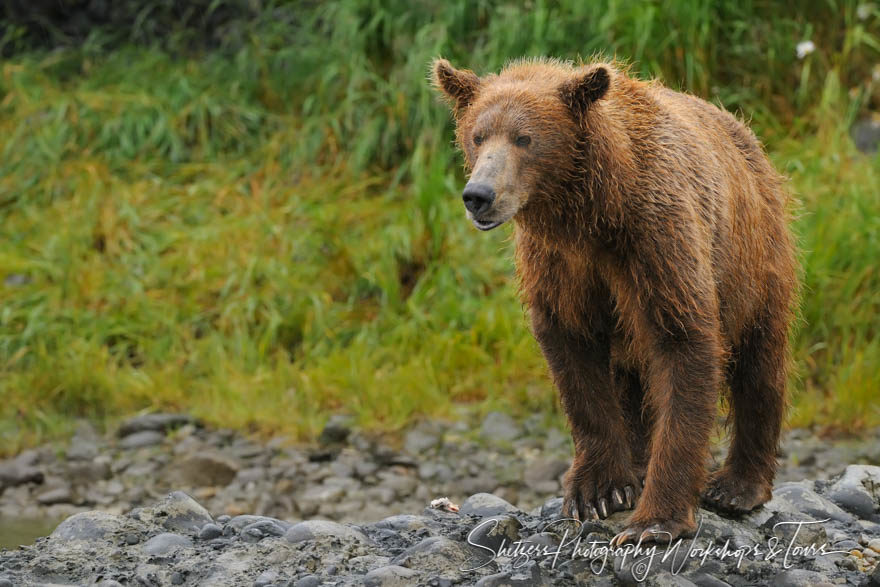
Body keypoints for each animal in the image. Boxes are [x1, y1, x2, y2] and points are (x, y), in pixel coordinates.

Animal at [432, 57, 796, 544]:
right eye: (477, 135)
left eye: (524, 138)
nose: (479, 196)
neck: (591, 212)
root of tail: (748, 136)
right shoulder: (562, 267)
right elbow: (574, 359)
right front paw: (598, 491)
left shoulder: (656, 238)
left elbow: (685, 344)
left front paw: (655, 520)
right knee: (630, 379)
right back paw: (636, 468)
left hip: (754, 257)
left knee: (760, 362)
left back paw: (737, 487)